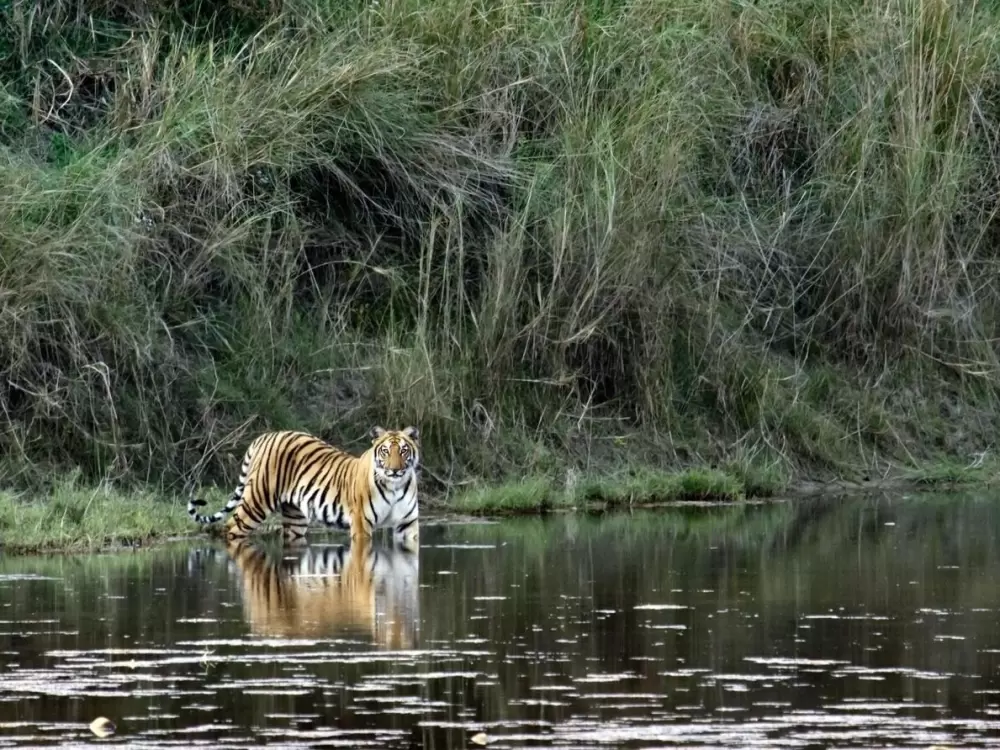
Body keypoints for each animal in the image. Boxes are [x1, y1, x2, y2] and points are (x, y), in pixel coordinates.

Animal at [187, 426, 420, 547]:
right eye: (385, 451)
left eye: (403, 451)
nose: (395, 470)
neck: (395, 486)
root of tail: (265, 436)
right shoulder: (362, 524)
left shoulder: (408, 525)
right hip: (256, 502)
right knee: (230, 528)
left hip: (295, 517)